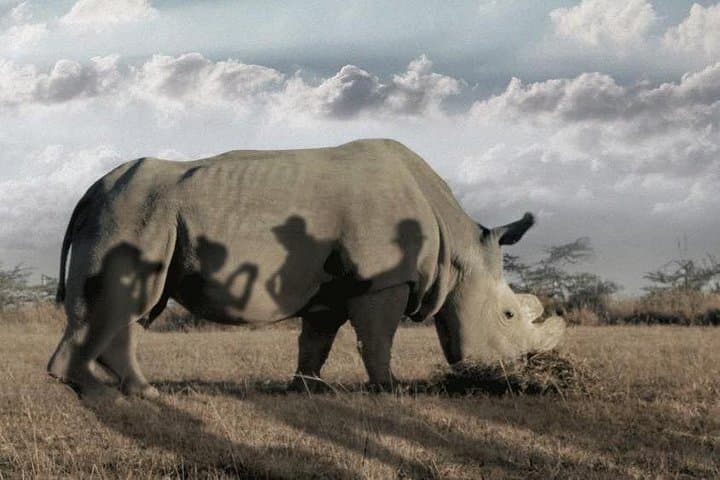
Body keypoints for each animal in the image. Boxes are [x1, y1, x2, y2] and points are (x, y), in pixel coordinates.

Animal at [47, 138, 565, 398]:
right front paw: (389, 388)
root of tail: (91, 190)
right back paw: (113, 392)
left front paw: (307, 388)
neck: (455, 250)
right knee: (124, 304)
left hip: (136, 211)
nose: (527, 369)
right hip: (132, 210)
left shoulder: (332, 284)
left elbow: (317, 338)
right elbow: (377, 336)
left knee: (129, 308)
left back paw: (125, 390)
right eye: (508, 316)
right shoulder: (382, 278)